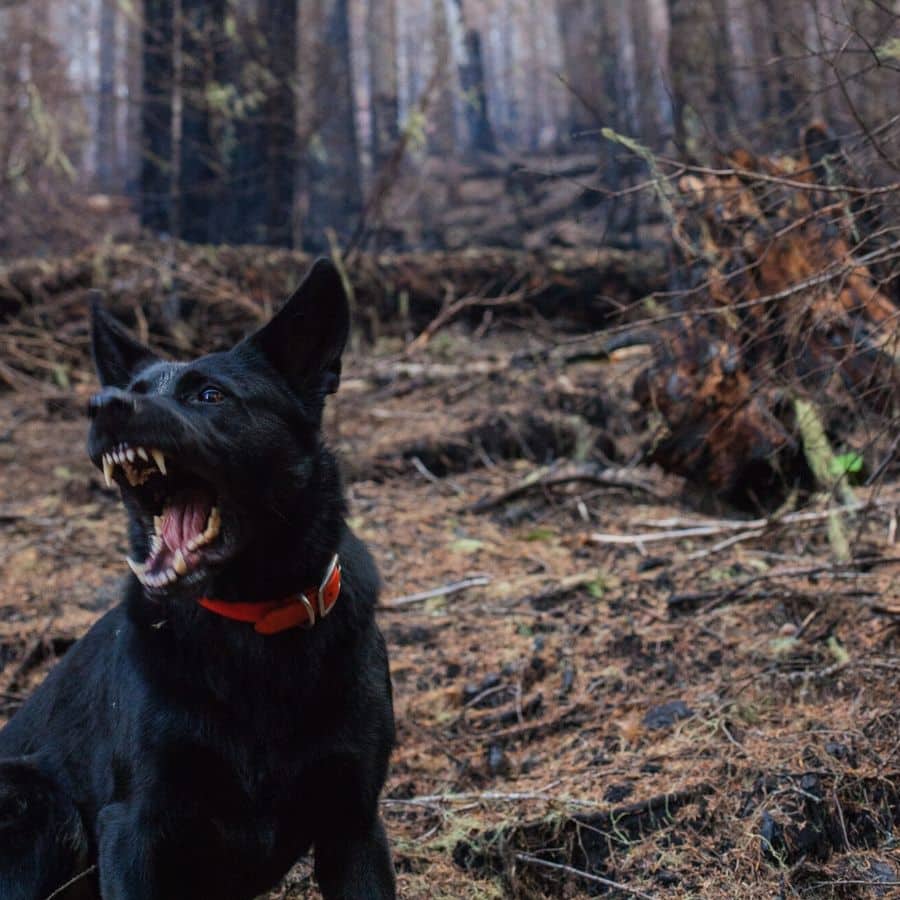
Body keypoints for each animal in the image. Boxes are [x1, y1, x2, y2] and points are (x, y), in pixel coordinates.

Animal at [0, 262, 398, 900]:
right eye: (135, 391)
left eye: (209, 395)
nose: (101, 405)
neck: (254, 624)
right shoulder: (132, 826)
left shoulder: (354, 823)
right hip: (41, 804)